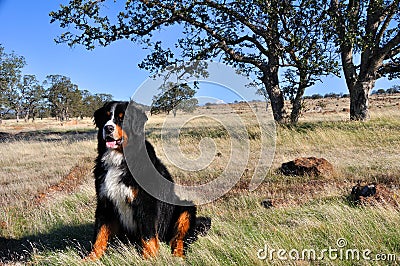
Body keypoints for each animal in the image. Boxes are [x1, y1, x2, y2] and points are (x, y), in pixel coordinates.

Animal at [87, 100, 211, 260]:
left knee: (179, 238)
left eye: (122, 118)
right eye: (106, 117)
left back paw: (177, 256)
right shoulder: (105, 202)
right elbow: (100, 234)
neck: (120, 159)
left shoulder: (146, 203)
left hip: (185, 208)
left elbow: (148, 235)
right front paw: (91, 258)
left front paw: (150, 257)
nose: (108, 128)